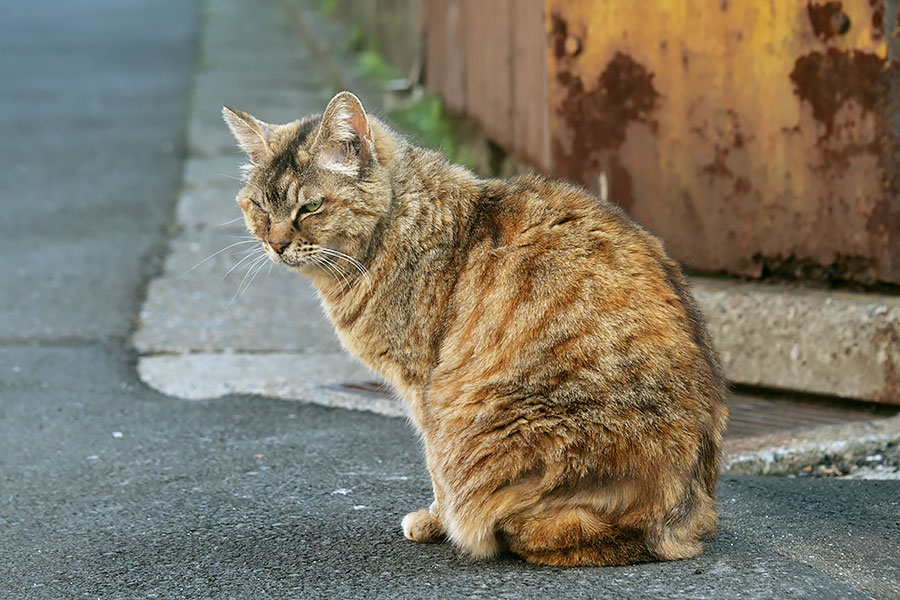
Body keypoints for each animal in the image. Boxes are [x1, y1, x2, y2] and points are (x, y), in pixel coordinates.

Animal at [221, 90, 728, 568]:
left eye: (310, 206)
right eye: (259, 207)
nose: (275, 244)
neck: (399, 224)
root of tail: (681, 512)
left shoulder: (423, 386)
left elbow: (433, 463)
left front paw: (436, 520)